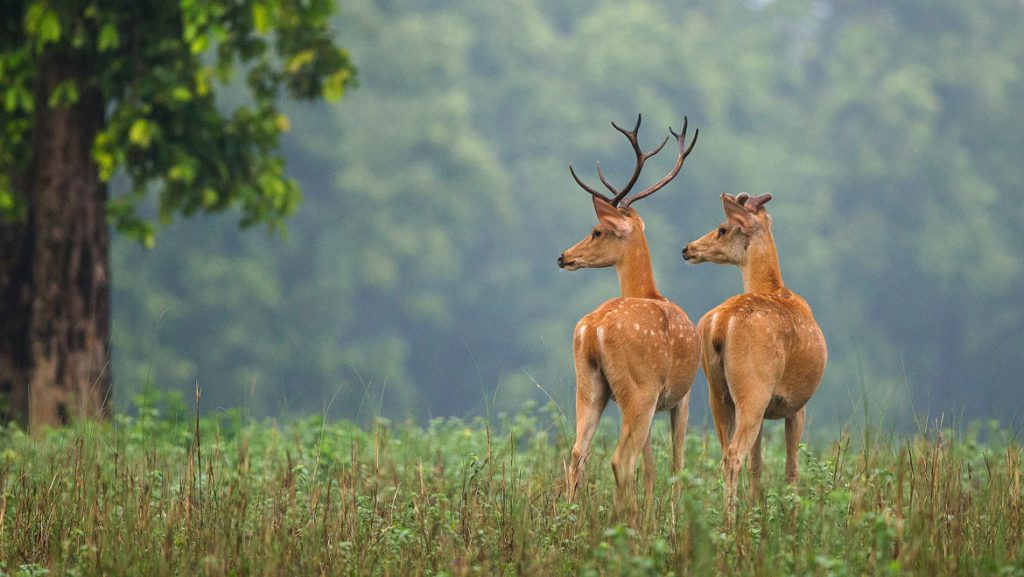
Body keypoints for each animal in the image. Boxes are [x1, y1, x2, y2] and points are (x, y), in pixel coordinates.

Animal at [557, 115, 700, 516]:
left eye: (597, 231)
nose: (563, 256)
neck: (649, 292)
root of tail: (594, 329)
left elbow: (652, 468)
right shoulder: (682, 395)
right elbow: (676, 464)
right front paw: (671, 518)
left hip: (590, 384)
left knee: (578, 453)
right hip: (639, 388)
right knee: (621, 460)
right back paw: (628, 521)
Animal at [684, 192, 827, 514]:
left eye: (722, 228)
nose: (687, 248)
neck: (774, 286)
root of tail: (720, 324)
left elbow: (758, 465)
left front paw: (755, 510)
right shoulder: (796, 405)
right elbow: (792, 468)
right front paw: (792, 515)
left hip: (717, 391)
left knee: (727, 453)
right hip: (754, 387)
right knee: (734, 455)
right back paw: (731, 519)